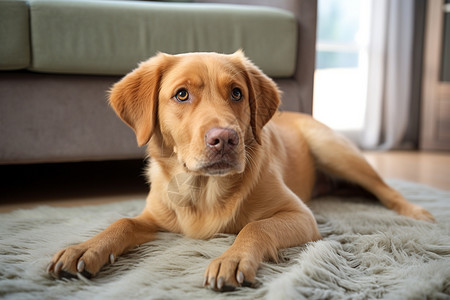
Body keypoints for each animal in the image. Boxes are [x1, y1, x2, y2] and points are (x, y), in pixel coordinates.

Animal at [47, 51, 434, 290]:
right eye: (181, 95)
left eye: (236, 93)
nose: (225, 138)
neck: (203, 189)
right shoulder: (154, 216)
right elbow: (122, 221)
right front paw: (85, 248)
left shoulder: (300, 215)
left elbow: (254, 226)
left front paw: (231, 259)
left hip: (335, 150)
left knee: (387, 189)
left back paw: (417, 213)